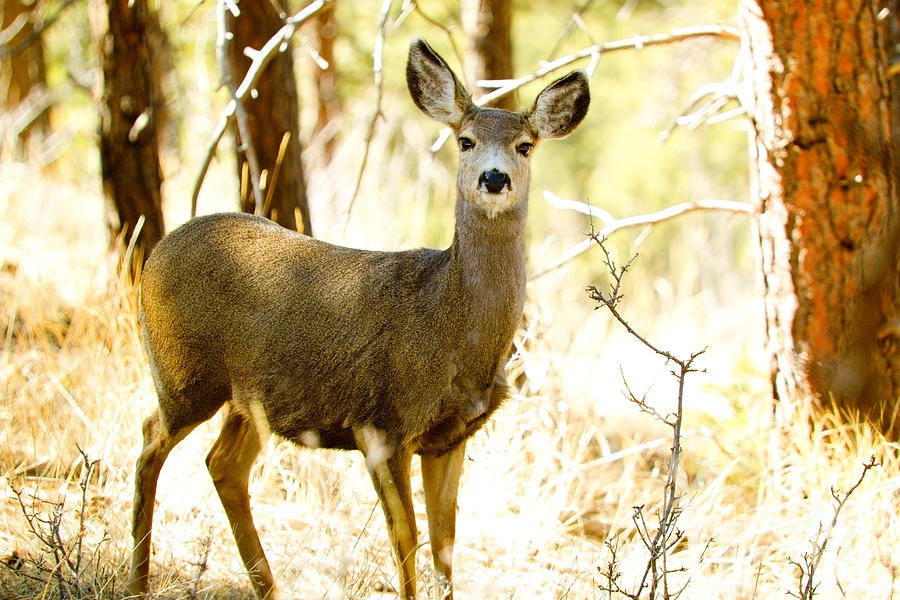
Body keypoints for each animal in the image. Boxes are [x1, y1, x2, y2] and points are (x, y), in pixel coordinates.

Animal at [128, 37, 592, 600]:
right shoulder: (381, 423)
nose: (494, 177)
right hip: (183, 372)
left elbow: (446, 546)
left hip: (251, 399)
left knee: (222, 465)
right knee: (150, 439)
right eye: (465, 141)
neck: (454, 328)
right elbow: (406, 540)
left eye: (525, 145)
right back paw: (137, 580)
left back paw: (266, 587)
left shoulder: (451, 436)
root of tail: (155, 252)